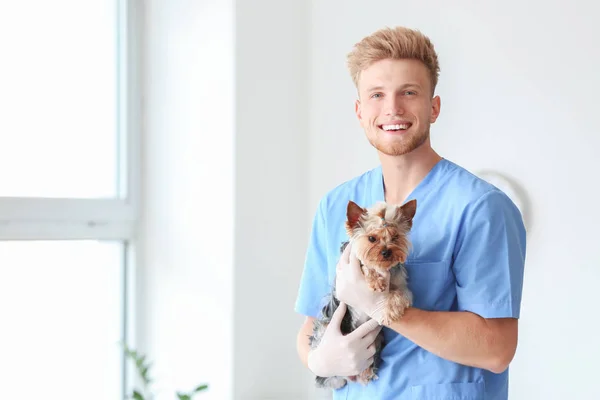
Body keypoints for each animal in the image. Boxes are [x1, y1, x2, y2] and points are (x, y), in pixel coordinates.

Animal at [310, 198, 418, 390]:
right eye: (372, 238)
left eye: (395, 237)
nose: (386, 252)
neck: (384, 268)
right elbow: (365, 265)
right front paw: (375, 280)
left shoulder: (401, 284)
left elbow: (401, 294)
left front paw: (389, 311)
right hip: (325, 327)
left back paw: (365, 373)